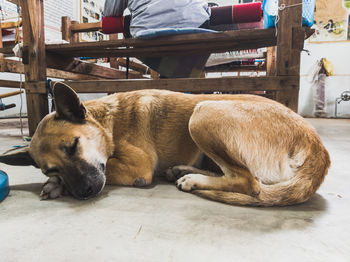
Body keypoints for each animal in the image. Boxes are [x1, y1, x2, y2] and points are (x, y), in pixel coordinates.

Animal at [0, 83, 330, 206]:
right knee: (235, 175)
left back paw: (192, 180)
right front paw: (56, 184)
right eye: (48, 169)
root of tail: (317, 146)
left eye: (73, 146)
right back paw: (183, 171)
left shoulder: (138, 166)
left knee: (250, 182)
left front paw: (59, 187)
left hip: (203, 113)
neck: (108, 123)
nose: (84, 192)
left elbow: (111, 167)